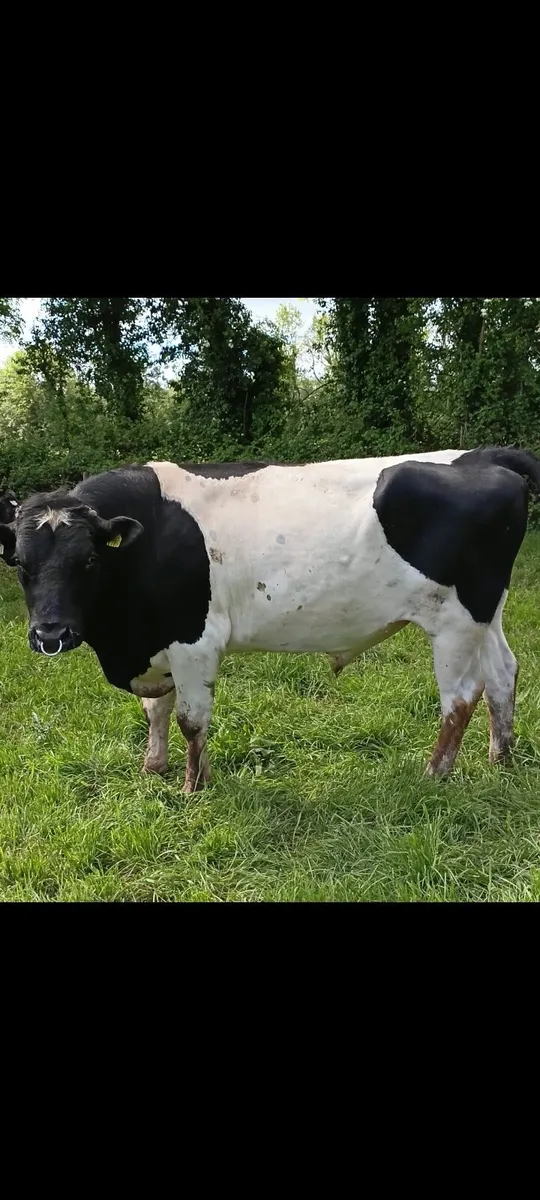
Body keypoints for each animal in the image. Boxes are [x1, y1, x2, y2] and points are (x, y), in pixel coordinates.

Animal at [0, 446, 537, 792]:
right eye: (20, 564)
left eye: (89, 561)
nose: (51, 633)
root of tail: (483, 455)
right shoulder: (159, 640)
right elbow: (156, 710)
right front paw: (153, 767)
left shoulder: (195, 641)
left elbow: (191, 718)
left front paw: (195, 787)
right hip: (486, 611)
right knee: (502, 673)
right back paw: (502, 758)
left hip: (454, 620)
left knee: (461, 697)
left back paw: (435, 774)